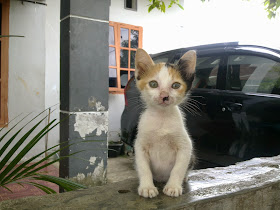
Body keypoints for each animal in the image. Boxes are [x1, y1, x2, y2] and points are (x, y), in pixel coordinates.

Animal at [134, 48, 196, 198]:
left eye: (176, 85)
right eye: (153, 84)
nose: (164, 96)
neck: (162, 118)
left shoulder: (186, 146)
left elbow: (178, 168)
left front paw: (173, 186)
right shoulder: (140, 145)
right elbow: (143, 167)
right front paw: (147, 187)